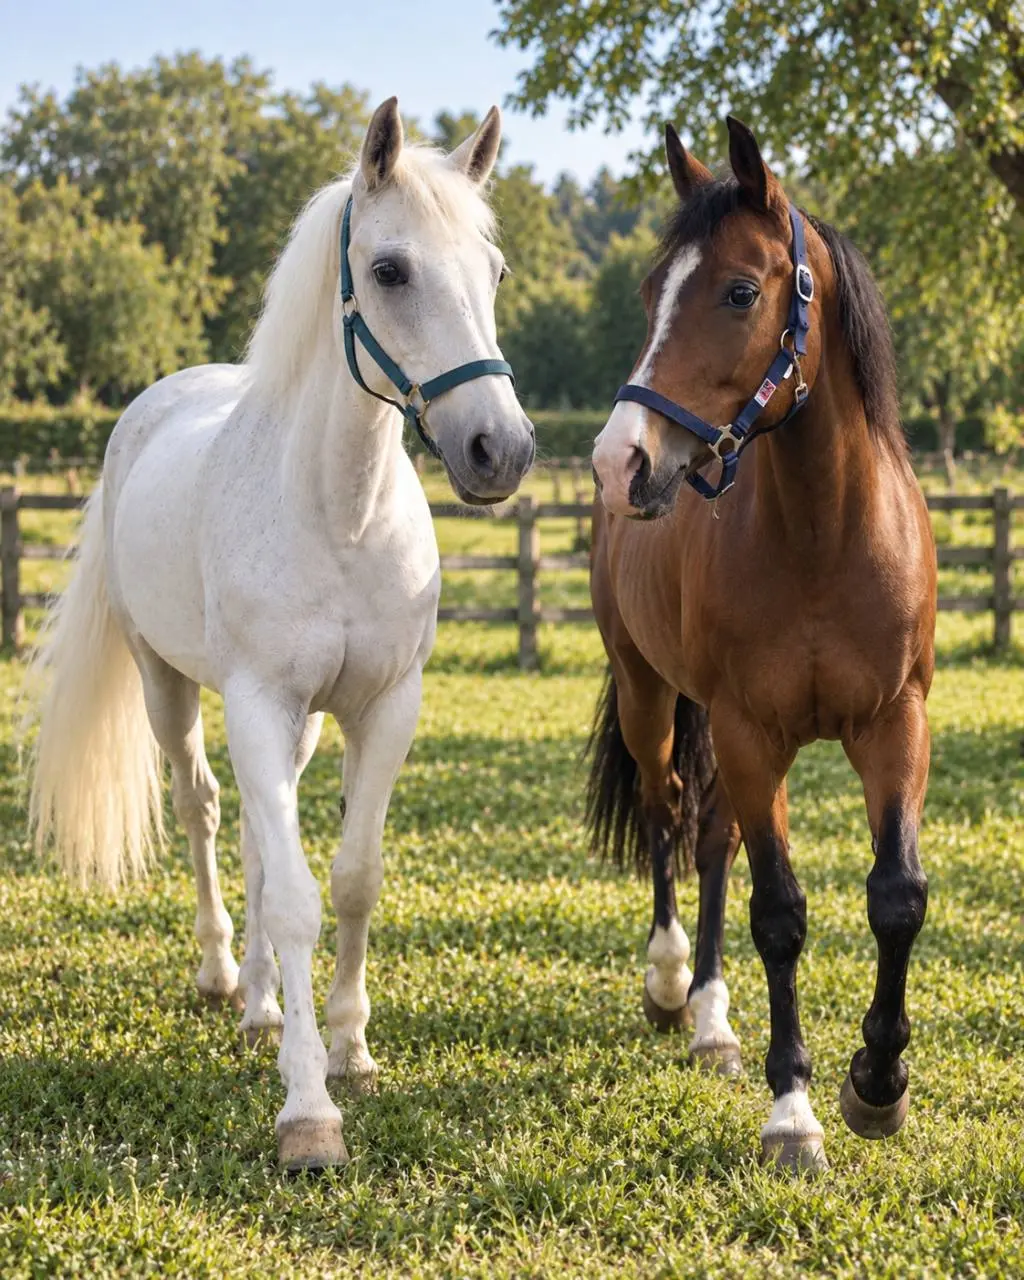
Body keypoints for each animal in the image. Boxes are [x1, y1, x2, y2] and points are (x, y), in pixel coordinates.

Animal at [26, 98, 534, 1172]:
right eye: (390, 270)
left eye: (496, 271)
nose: (500, 451)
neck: (338, 515)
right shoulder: (257, 701)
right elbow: (297, 893)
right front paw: (308, 1110)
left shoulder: (382, 709)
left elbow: (350, 881)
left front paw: (349, 1049)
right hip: (170, 687)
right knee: (207, 810)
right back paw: (226, 976)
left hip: (294, 725)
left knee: (267, 834)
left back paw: (263, 1005)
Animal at [587, 116, 936, 1171]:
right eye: (651, 292)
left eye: (740, 291)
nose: (619, 461)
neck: (825, 534)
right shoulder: (750, 733)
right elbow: (779, 916)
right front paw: (794, 1112)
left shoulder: (895, 725)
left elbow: (896, 895)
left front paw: (879, 1083)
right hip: (649, 695)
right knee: (667, 814)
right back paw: (674, 987)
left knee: (710, 839)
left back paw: (711, 1020)